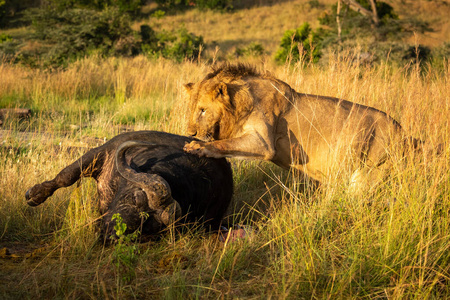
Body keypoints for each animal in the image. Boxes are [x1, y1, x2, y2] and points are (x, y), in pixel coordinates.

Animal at [182, 63, 422, 192]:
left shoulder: (264, 143)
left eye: (202, 110)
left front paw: (197, 146)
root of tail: (405, 134)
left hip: (369, 172)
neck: (238, 103)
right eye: (192, 108)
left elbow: (224, 143)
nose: (190, 133)